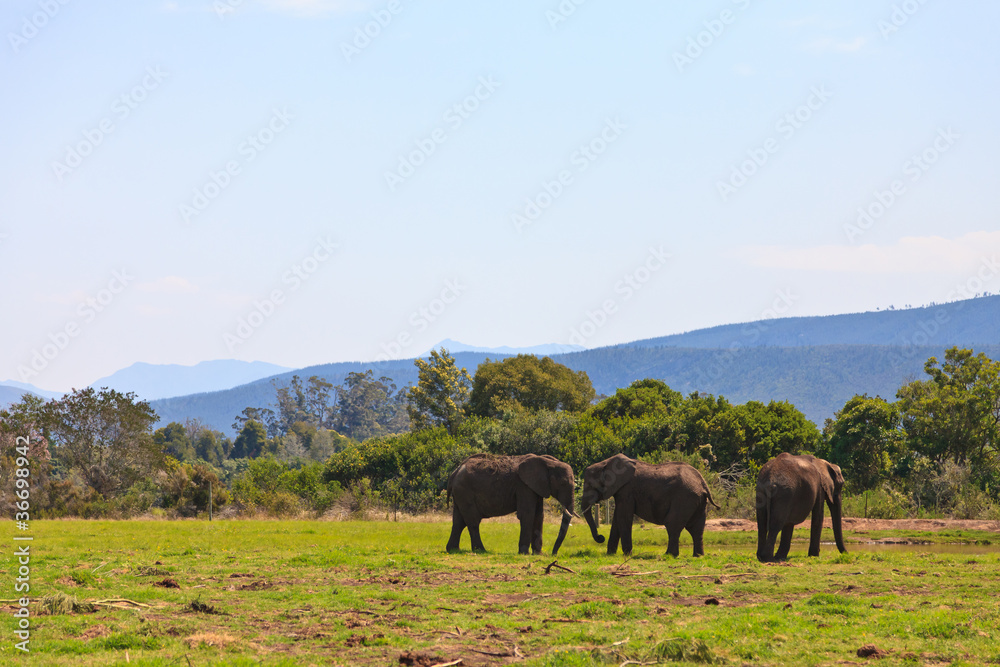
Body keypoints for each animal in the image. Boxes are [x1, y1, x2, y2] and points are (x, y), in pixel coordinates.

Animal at [446, 453, 577, 555]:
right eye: (563, 483)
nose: (553, 554)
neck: (547, 461)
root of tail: (455, 472)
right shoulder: (523, 486)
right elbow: (527, 514)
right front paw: (524, 553)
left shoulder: (535, 487)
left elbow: (539, 516)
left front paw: (538, 554)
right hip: (465, 491)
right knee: (473, 522)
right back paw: (481, 551)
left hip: (460, 494)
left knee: (459, 522)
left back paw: (453, 550)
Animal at [580, 454, 719, 557]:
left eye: (590, 485)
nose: (600, 537)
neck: (605, 463)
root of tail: (703, 484)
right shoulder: (622, 492)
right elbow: (617, 519)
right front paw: (610, 554)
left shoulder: (627, 490)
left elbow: (623, 518)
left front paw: (627, 555)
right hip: (698, 501)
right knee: (696, 528)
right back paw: (698, 556)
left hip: (684, 498)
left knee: (673, 524)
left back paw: (669, 555)